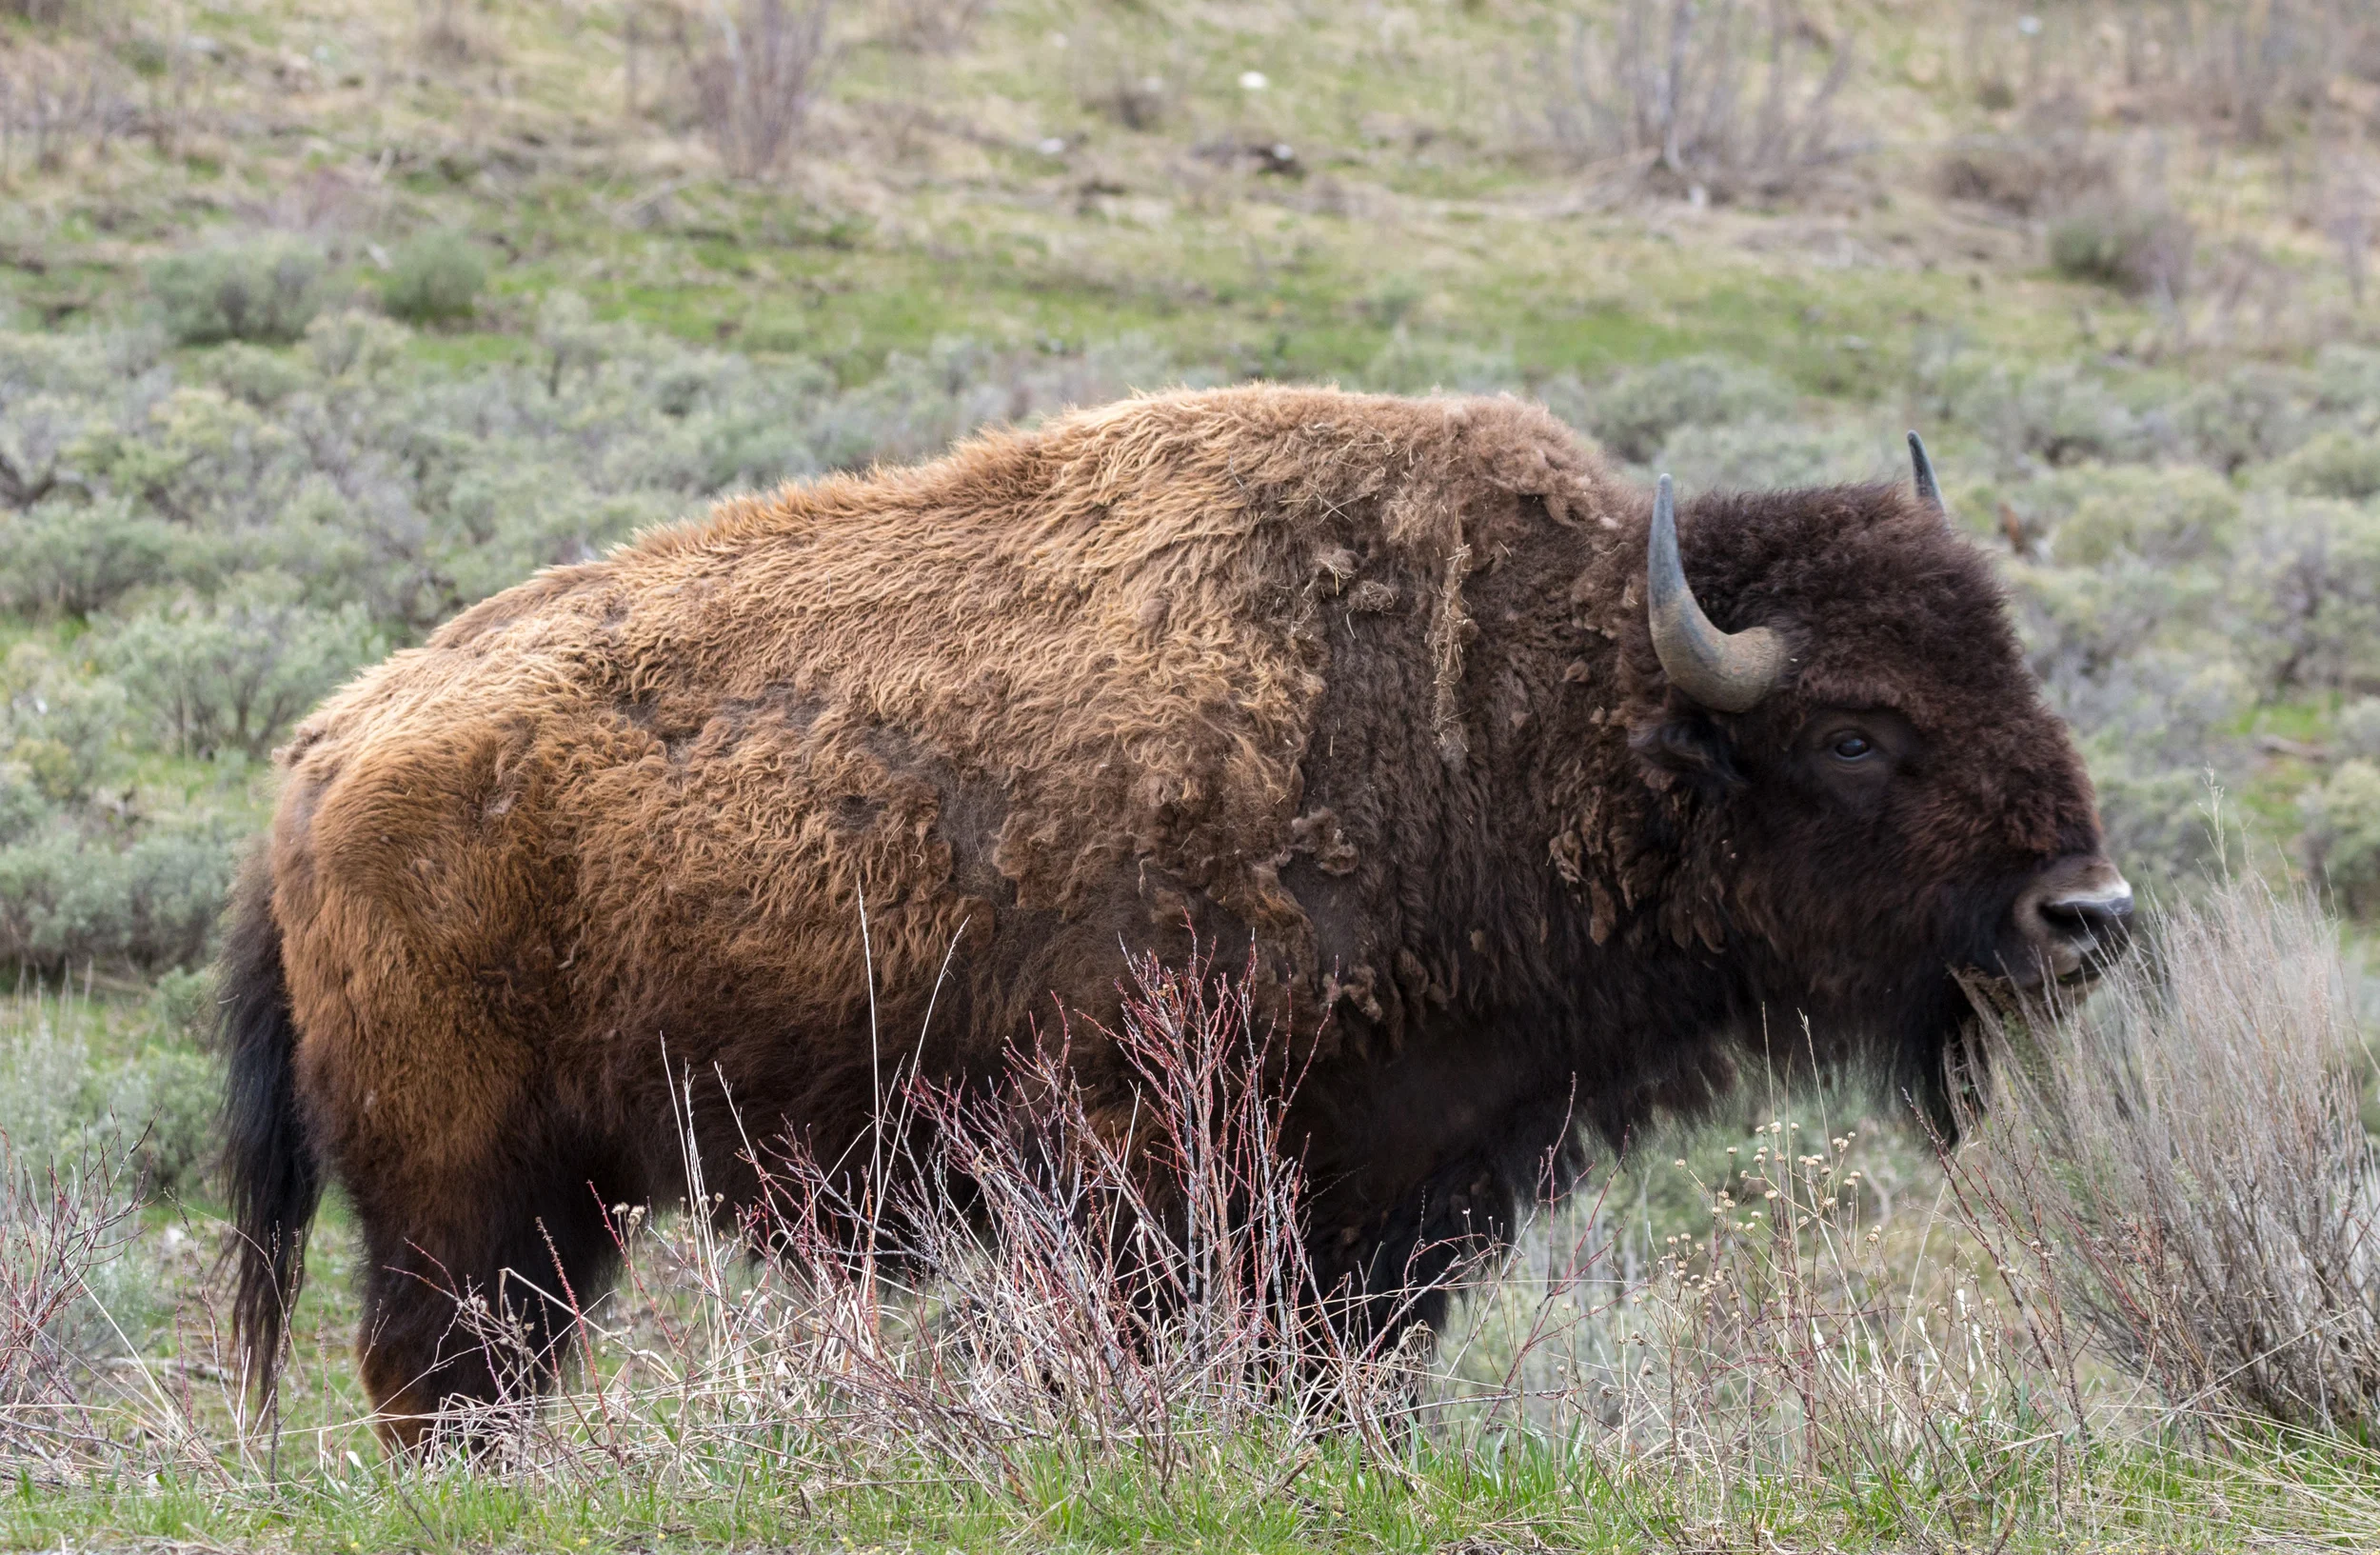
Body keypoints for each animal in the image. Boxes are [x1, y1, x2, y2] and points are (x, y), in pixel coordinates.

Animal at [221, 386, 2130, 1444]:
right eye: (1856, 731)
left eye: (2011, 664)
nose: (2086, 910)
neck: (1523, 715)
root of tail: (323, 750)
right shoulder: (1166, 1180)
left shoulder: (1385, 1210)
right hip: (465, 1193)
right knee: (435, 1379)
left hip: (549, 1207)